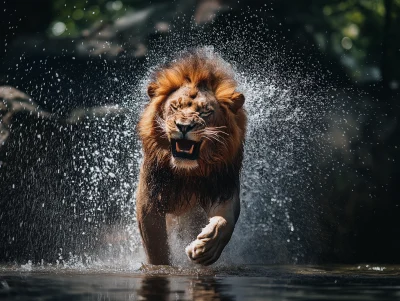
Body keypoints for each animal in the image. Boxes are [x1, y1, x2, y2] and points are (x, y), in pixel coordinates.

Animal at [136, 49, 245, 264]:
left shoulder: (222, 190)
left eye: (205, 111)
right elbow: (156, 247)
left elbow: (224, 222)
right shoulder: (149, 201)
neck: (187, 173)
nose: (184, 126)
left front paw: (206, 248)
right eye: (175, 107)